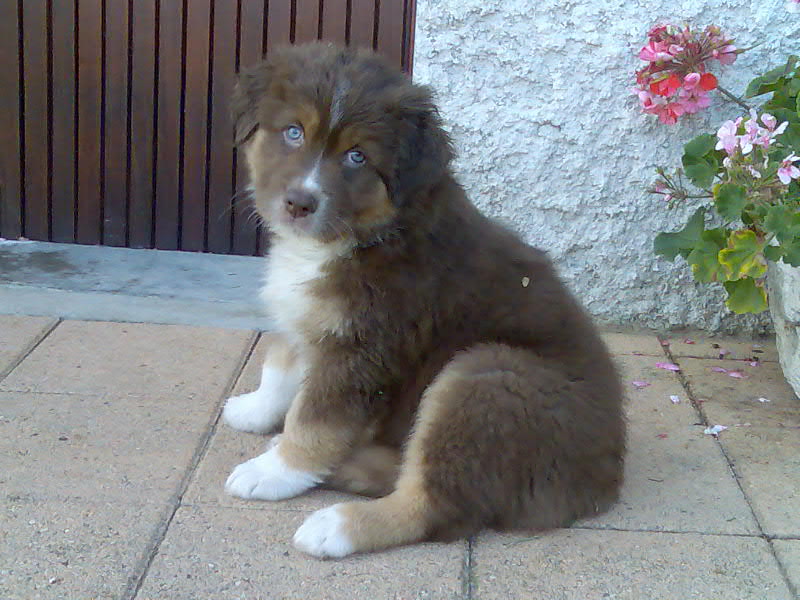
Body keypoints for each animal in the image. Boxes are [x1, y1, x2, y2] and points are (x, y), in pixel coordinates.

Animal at [220, 42, 624, 556]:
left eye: (356, 157)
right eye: (293, 132)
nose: (299, 203)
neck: (364, 235)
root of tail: (603, 481)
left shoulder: (363, 350)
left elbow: (315, 421)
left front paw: (275, 472)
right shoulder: (310, 321)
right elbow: (281, 366)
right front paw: (255, 411)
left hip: (487, 377)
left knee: (435, 507)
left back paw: (336, 524)